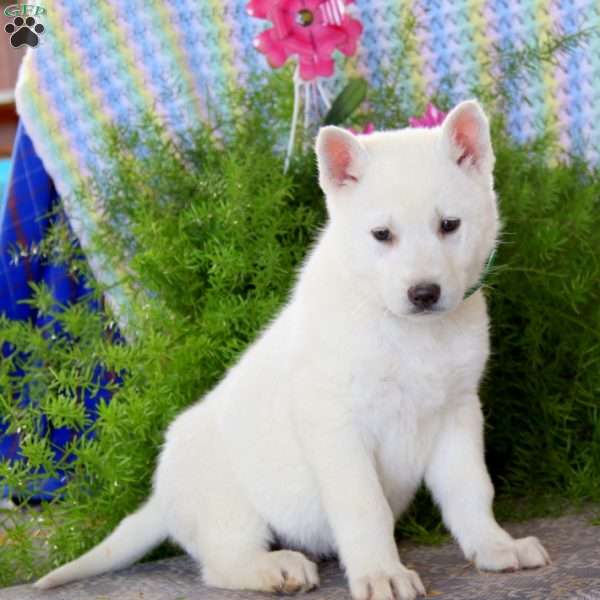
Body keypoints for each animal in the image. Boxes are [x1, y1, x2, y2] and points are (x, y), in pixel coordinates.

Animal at [34, 101, 548, 596]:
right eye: (382, 235)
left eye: (449, 225)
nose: (424, 293)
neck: (406, 330)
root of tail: (161, 500)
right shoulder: (336, 424)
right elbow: (365, 507)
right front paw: (381, 573)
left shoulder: (457, 413)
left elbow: (471, 491)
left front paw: (495, 546)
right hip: (230, 502)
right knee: (221, 564)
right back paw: (274, 569)